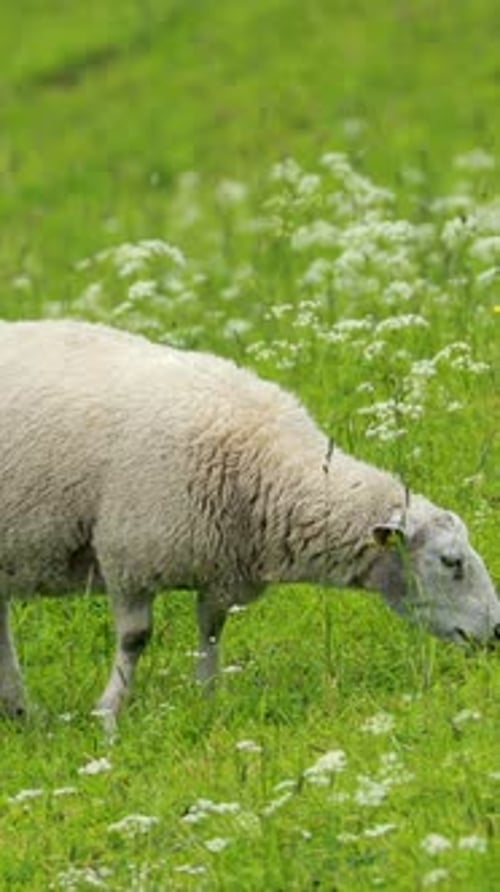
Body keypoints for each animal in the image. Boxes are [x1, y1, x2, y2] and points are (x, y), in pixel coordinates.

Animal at [0, 319, 499, 719]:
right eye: (451, 562)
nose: (496, 632)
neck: (266, 463)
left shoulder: (220, 569)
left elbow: (211, 633)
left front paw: (209, 702)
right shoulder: (128, 555)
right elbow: (135, 639)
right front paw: (109, 715)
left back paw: (21, 713)